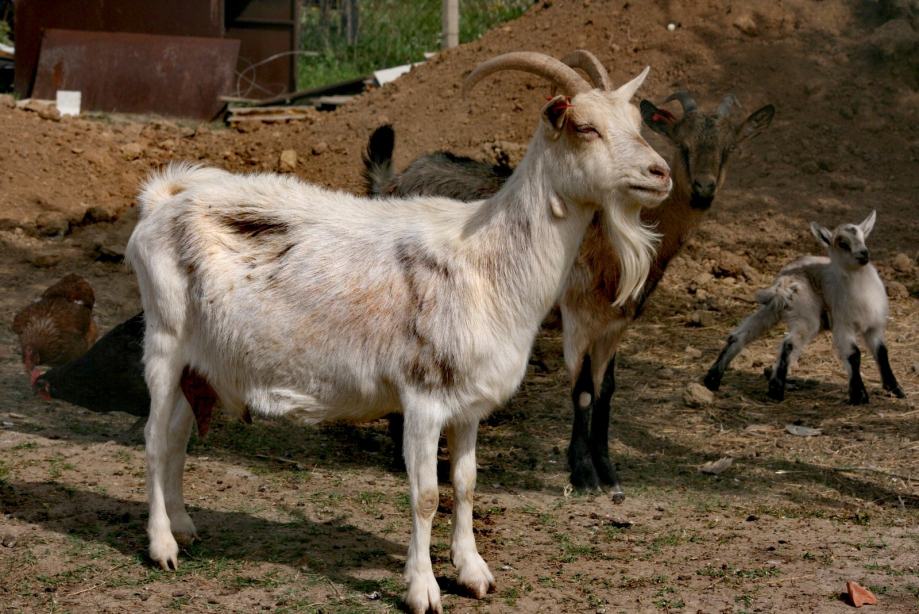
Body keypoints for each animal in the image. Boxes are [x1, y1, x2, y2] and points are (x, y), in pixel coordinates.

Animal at [126, 51, 671, 614]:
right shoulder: (423, 398)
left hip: (200, 360)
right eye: (585, 127)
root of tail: (162, 199)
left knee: (176, 436)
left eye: (638, 123)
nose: (660, 173)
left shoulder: (469, 403)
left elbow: (466, 483)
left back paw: (184, 527)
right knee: (153, 438)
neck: (487, 262)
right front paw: (423, 589)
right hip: (165, 340)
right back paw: (162, 546)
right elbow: (426, 495)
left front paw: (473, 572)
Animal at [363, 82, 775, 499]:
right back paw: (401, 454)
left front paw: (608, 471)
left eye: (729, 148)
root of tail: (395, 180)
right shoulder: (577, 317)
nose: (703, 190)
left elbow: (606, 389)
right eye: (683, 146)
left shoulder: (613, 325)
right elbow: (583, 390)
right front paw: (583, 473)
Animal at [703, 211, 905, 404]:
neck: (861, 291)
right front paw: (859, 396)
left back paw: (713, 379)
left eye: (864, 237)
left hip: (775, 307)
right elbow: (854, 356)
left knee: (739, 335)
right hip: (805, 314)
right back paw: (776, 390)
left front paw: (895, 389)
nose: (864, 254)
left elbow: (882, 353)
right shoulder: (843, 325)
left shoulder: (875, 327)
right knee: (789, 343)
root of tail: (784, 282)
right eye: (842, 243)